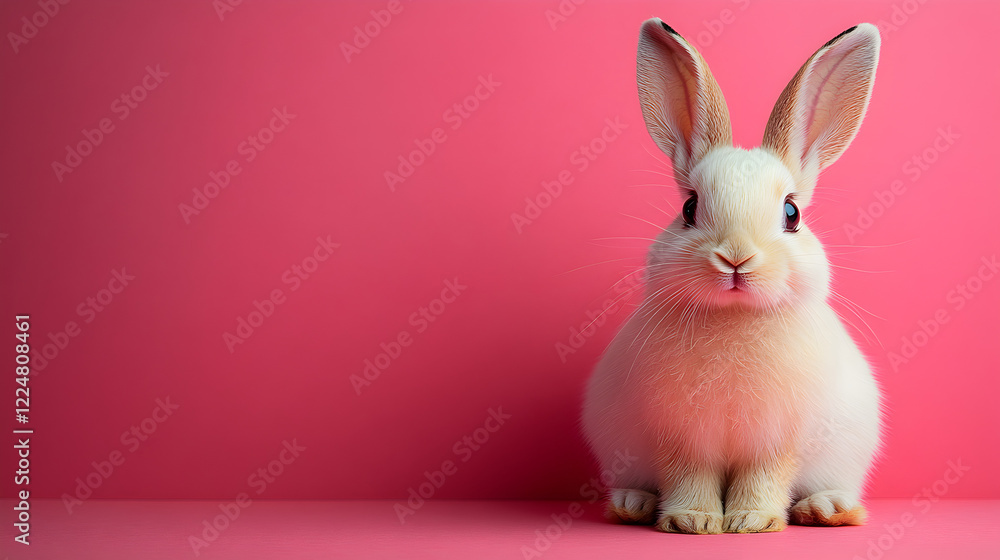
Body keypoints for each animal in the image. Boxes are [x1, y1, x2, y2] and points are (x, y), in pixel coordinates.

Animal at [581, 19, 882, 534]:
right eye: (688, 208)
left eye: (791, 213)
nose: (736, 258)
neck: (735, 317)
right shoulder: (678, 435)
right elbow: (687, 475)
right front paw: (692, 521)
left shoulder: (778, 437)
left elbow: (764, 476)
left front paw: (750, 521)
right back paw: (631, 504)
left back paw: (826, 509)